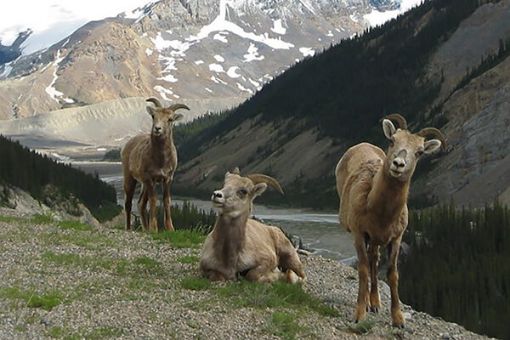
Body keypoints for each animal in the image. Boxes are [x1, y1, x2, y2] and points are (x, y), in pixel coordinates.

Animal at [334, 115, 442, 328]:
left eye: (420, 152)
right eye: (392, 140)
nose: (398, 164)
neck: (380, 213)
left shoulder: (396, 239)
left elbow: (392, 275)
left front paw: (398, 319)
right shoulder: (359, 234)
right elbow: (362, 270)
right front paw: (359, 314)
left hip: (376, 241)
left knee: (374, 260)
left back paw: (375, 304)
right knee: (370, 263)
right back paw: (369, 304)